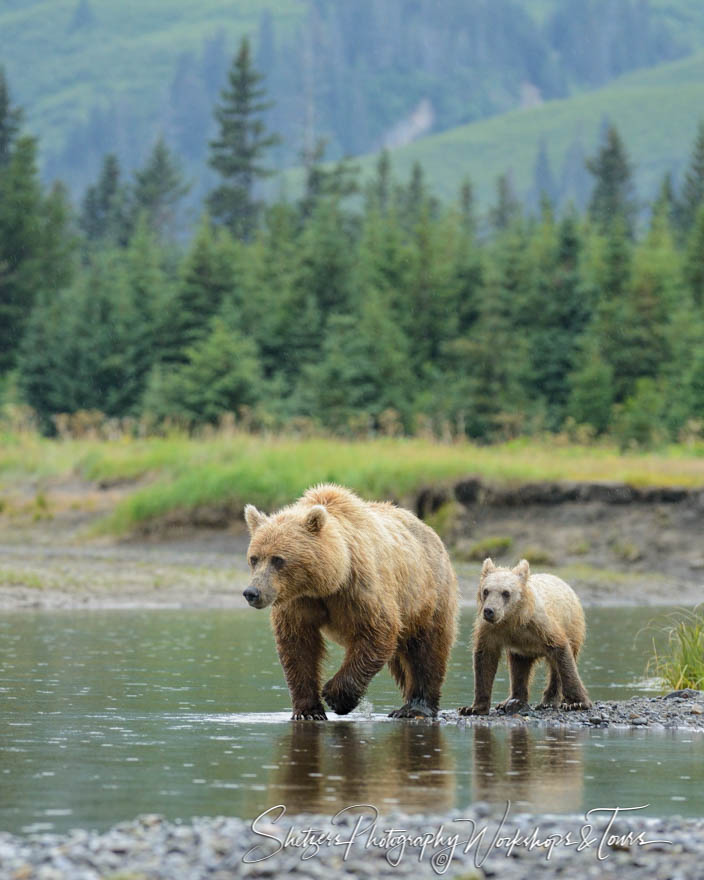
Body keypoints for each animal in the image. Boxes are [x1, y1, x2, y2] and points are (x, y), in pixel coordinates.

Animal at [245, 484, 460, 720]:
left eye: (278, 559)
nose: (252, 592)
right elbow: (298, 647)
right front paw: (308, 711)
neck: (327, 581)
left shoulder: (359, 589)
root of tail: (430, 529)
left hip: (428, 595)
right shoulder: (299, 602)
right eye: (254, 558)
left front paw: (335, 697)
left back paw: (415, 707)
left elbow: (377, 632)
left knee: (427, 650)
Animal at [460, 560, 592, 720]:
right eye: (486, 591)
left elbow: (562, 654)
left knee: (555, 668)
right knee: (519, 669)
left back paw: (548, 701)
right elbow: (484, 661)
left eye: (506, 592)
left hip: (572, 624)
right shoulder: (490, 631)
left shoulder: (541, 626)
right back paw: (510, 700)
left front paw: (577, 703)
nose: (489, 611)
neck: (511, 619)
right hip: (522, 651)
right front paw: (472, 708)